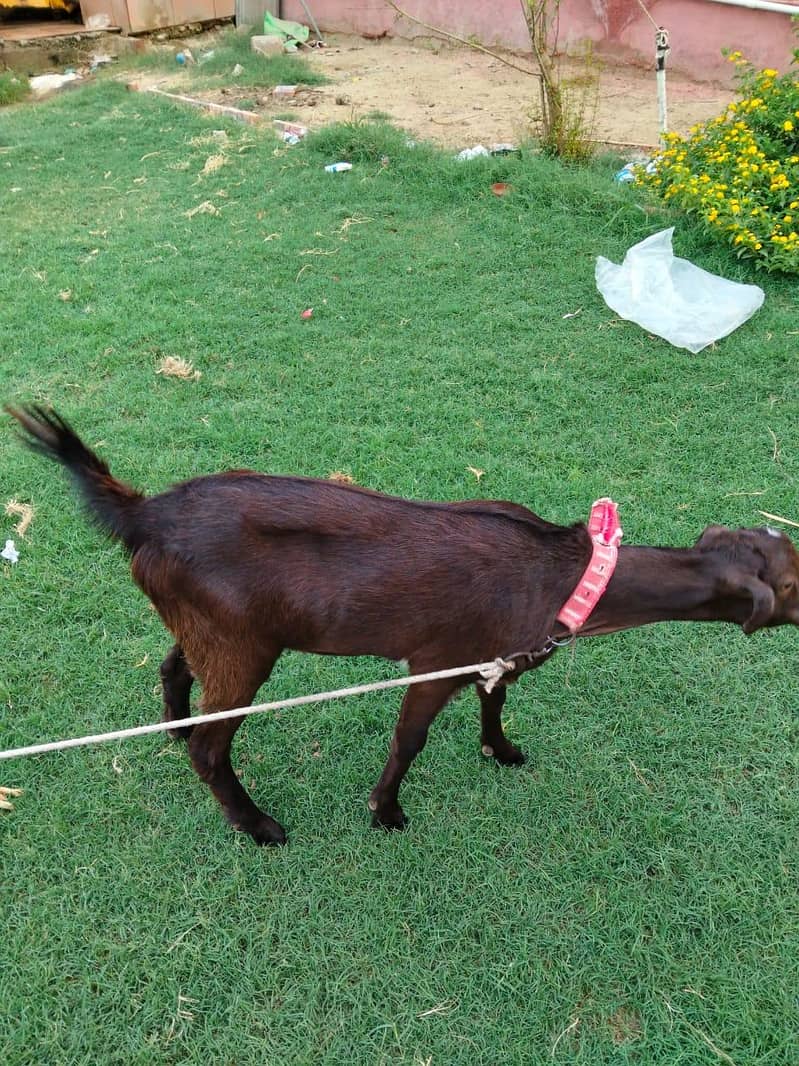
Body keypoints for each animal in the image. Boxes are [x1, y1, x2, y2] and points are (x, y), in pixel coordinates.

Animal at [7, 405, 799, 845]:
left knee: (174, 666)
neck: (564, 571)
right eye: (789, 584)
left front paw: (501, 751)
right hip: (244, 645)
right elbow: (409, 737)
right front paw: (385, 812)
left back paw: (173, 728)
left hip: (210, 624)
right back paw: (259, 826)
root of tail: (142, 514)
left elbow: (496, 699)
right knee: (212, 745)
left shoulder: (491, 654)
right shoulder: (437, 658)